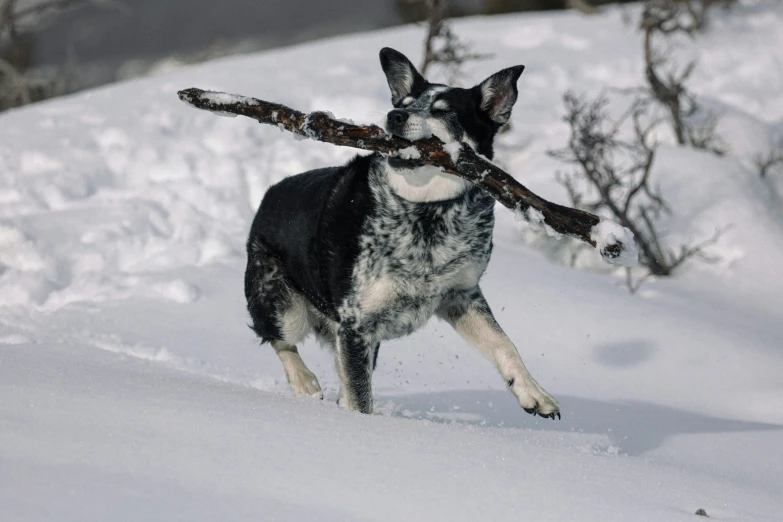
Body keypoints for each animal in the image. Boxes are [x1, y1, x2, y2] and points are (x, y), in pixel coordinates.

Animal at [245, 46, 556, 416]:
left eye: (444, 111)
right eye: (404, 102)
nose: (394, 116)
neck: (426, 212)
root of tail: (267, 197)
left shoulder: (460, 295)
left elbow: (503, 342)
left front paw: (533, 392)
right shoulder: (356, 325)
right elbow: (360, 399)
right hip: (284, 303)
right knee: (278, 337)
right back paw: (304, 382)